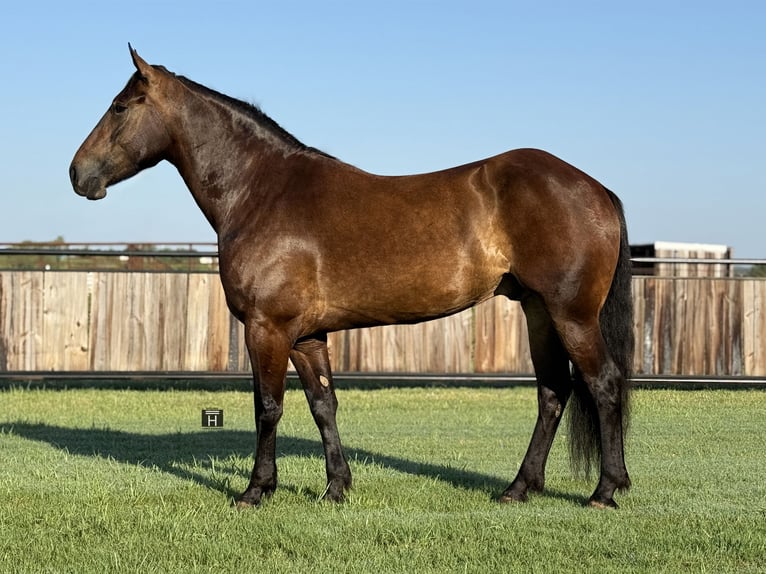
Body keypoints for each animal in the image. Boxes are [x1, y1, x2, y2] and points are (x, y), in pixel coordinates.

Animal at [70, 46, 634, 509]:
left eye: (120, 107)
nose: (78, 173)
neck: (261, 191)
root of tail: (594, 188)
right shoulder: (307, 336)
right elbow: (324, 405)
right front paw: (336, 487)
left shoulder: (266, 329)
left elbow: (267, 407)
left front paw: (256, 490)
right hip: (539, 311)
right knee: (552, 393)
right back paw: (518, 488)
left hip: (572, 314)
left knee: (603, 384)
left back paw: (605, 491)